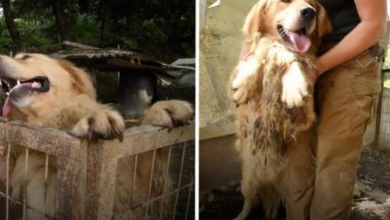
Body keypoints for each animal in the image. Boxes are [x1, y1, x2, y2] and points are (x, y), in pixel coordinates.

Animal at [230, 0, 330, 219]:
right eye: (285, 1)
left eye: (312, 4)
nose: (309, 12)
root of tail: (269, 186)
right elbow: (262, 50)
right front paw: (245, 82)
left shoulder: (304, 118)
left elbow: (295, 58)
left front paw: (294, 88)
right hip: (247, 181)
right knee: (249, 202)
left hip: (289, 188)